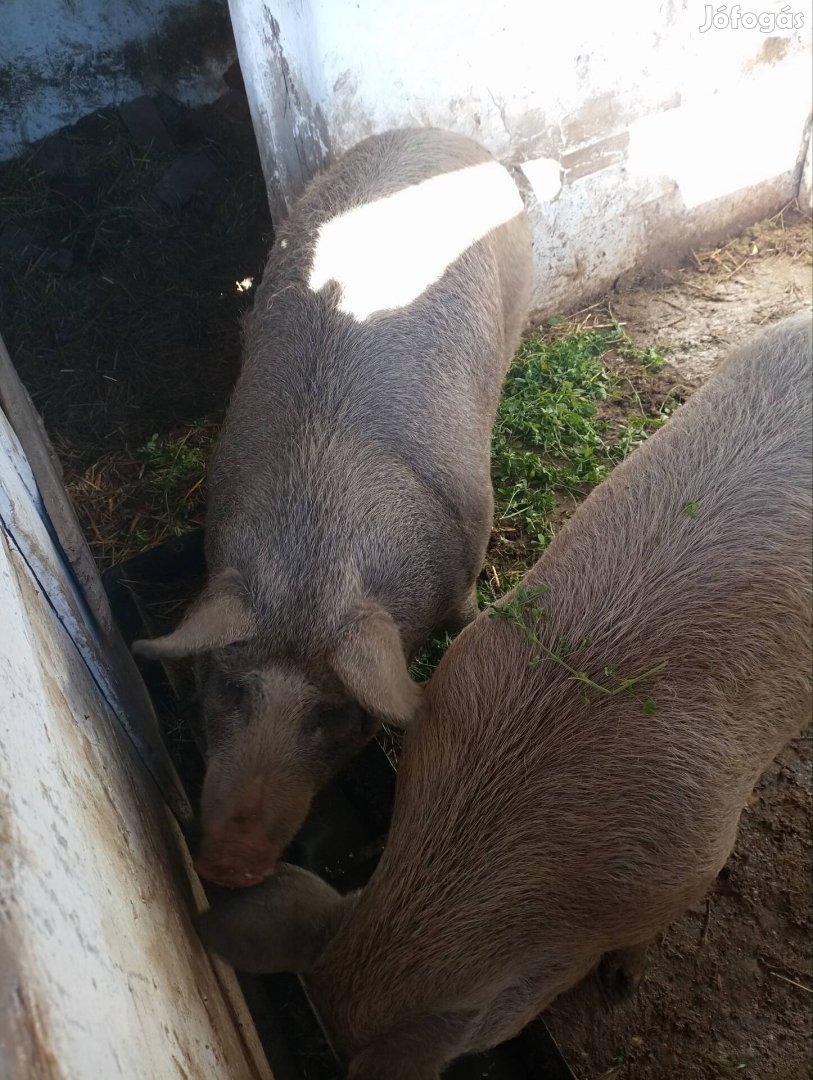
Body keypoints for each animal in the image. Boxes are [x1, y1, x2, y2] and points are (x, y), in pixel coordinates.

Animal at [133, 126, 533, 885]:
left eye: (331, 713)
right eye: (230, 686)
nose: (228, 863)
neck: (313, 567)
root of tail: (436, 132)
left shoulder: (471, 543)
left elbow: (467, 612)